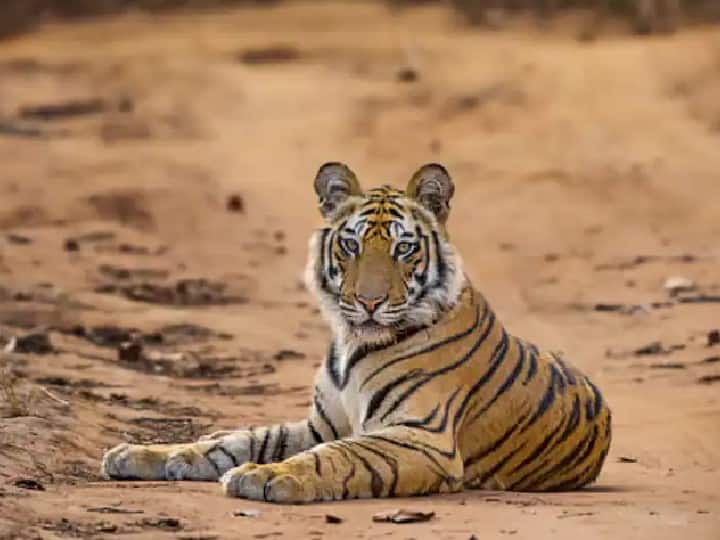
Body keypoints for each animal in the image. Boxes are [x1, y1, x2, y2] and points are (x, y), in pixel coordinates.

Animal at [101, 162, 612, 503]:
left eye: (404, 248)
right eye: (350, 244)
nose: (369, 302)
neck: (352, 343)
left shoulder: (420, 436)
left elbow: (337, 455)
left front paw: (268, 477)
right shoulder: (319, 423)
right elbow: (240, 442)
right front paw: (137, 454)